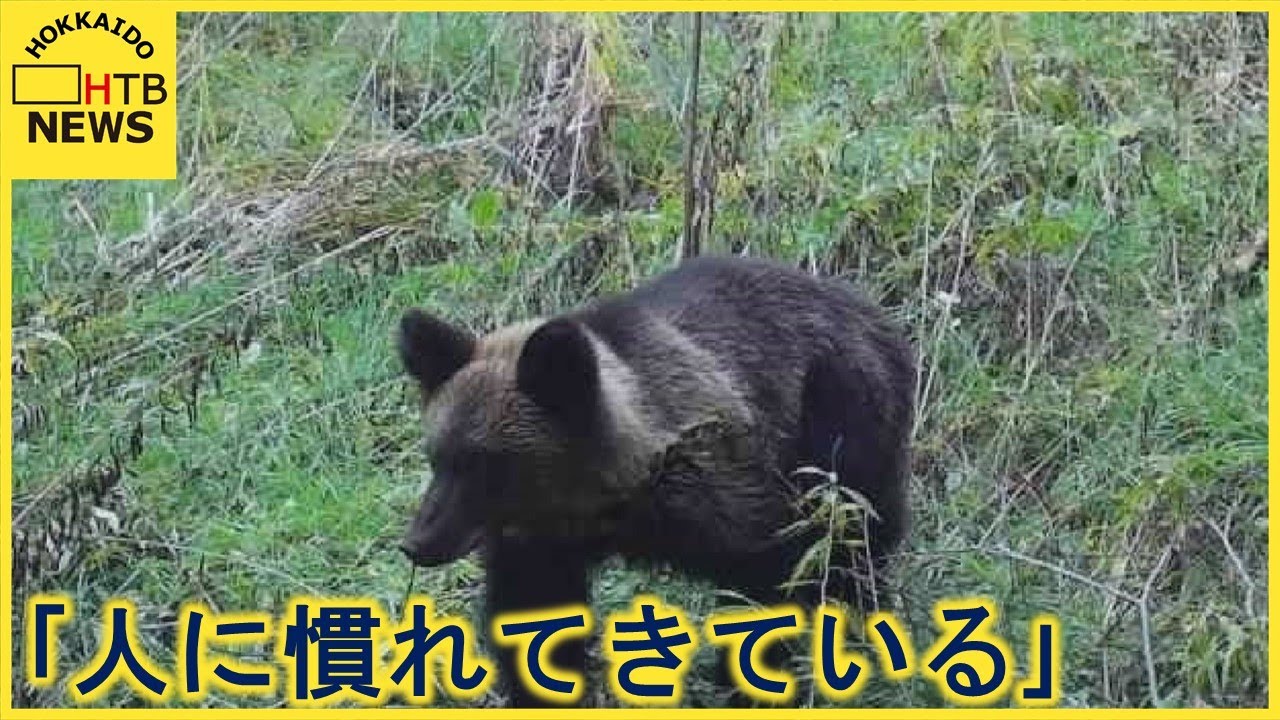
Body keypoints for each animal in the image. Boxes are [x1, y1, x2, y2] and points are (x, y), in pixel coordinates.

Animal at [397, 254, 915, 707]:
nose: (417, 542)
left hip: (842, 424)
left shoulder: (731, 501)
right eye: (437, 456)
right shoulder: (541, 545)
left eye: (485, 463)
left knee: (854, 547)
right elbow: (533, 617)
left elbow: (769, 585)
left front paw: (751, 687)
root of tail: (878, 316)